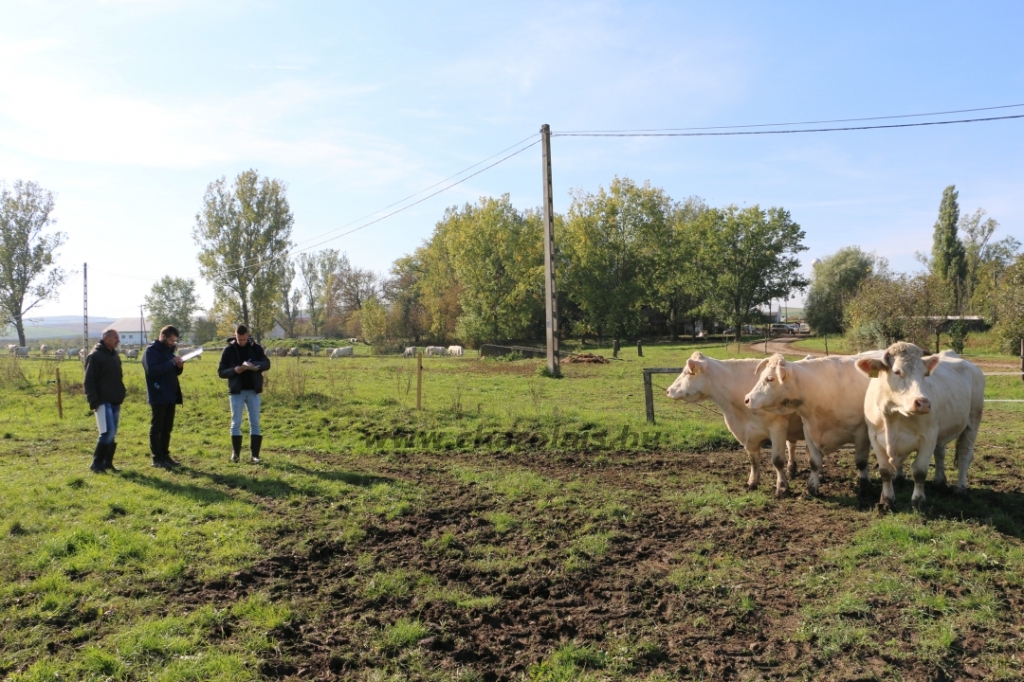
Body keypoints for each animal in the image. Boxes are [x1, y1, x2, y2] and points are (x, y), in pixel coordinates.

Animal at [741, 350, 884, 493]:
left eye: (770, 378)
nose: (747, 399)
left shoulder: (861, 433)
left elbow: (861, 461)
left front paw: (864, 486)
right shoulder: (809, 430)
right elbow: (814, 462)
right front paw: (812, 488)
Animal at [856, 342, 983, 507]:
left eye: (924, 374)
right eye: (897, 372)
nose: (923, 403)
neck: (892, 417)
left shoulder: (928, 437)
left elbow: (919, 471)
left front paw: (918, 500)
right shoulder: (875, 437)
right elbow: (885, 471)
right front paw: (887, 500)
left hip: (973, 421)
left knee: (964, 455)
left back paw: (960, 488)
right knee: (940, 453)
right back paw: (939, 482)